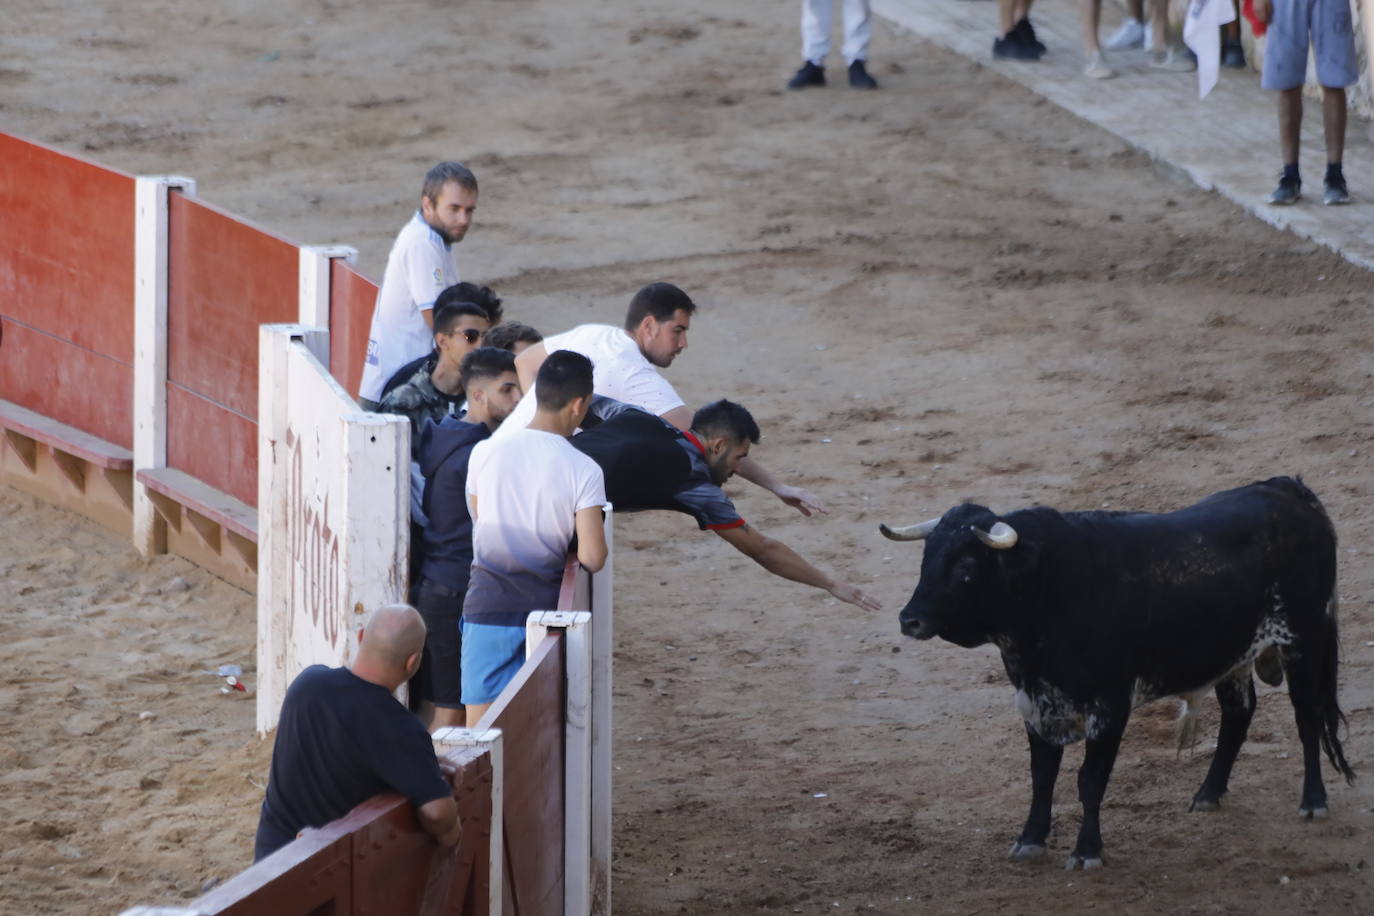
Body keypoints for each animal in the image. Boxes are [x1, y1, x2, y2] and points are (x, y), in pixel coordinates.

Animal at [890, 477, 1352, 873]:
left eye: (966, 568)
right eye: (927, 560)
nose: (909, 620)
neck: (1049, 588)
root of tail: (1285, 488)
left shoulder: (1110, 708)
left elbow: (1090, 780)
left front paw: (1086, 851)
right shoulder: (1035, 703)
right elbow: (1042, 776)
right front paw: (1030, 840)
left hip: (1304, 640)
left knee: (1307, 717)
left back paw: (1313, 801)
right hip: (1235, 657)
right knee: (1239, 715)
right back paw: (1207, 795)